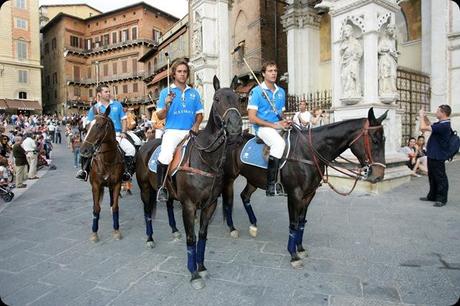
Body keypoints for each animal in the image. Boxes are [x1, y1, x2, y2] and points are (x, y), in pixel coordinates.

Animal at [80, 106, 124, 243]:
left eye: (98, 126)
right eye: (87, 126)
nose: (83, 150)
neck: (107, 160)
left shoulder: (117, 184)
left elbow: (115, 207)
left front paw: (116, 230)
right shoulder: (96, 185)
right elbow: (96, 208)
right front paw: (94, 233)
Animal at [135, 76, 243, 290]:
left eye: (238, 98)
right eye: (217, 99)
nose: (235, 129)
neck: (205, 158)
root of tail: (144, 146)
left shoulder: (210, 205)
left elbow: (202, 235)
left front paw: (201, 267)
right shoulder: (189, 206)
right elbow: (191, 238)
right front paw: (193, 274)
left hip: (167, 191)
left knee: (168, 205)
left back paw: (174, 230)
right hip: (145, 190)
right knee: (147, 213)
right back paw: (150, 238)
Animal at [221, 107, 386, 268]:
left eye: (384, 140)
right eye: (375, 140)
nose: (379, 175)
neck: (308, 152)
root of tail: (232, 137)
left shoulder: (309, 194)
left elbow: (301, 222)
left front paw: (300, 248)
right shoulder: (295, 195)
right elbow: (293, 224)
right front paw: (293, 255)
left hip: (253, 180)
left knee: (245, 196)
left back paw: (253, 225)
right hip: (229, 178)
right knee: (228, 201)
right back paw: (232, 228)